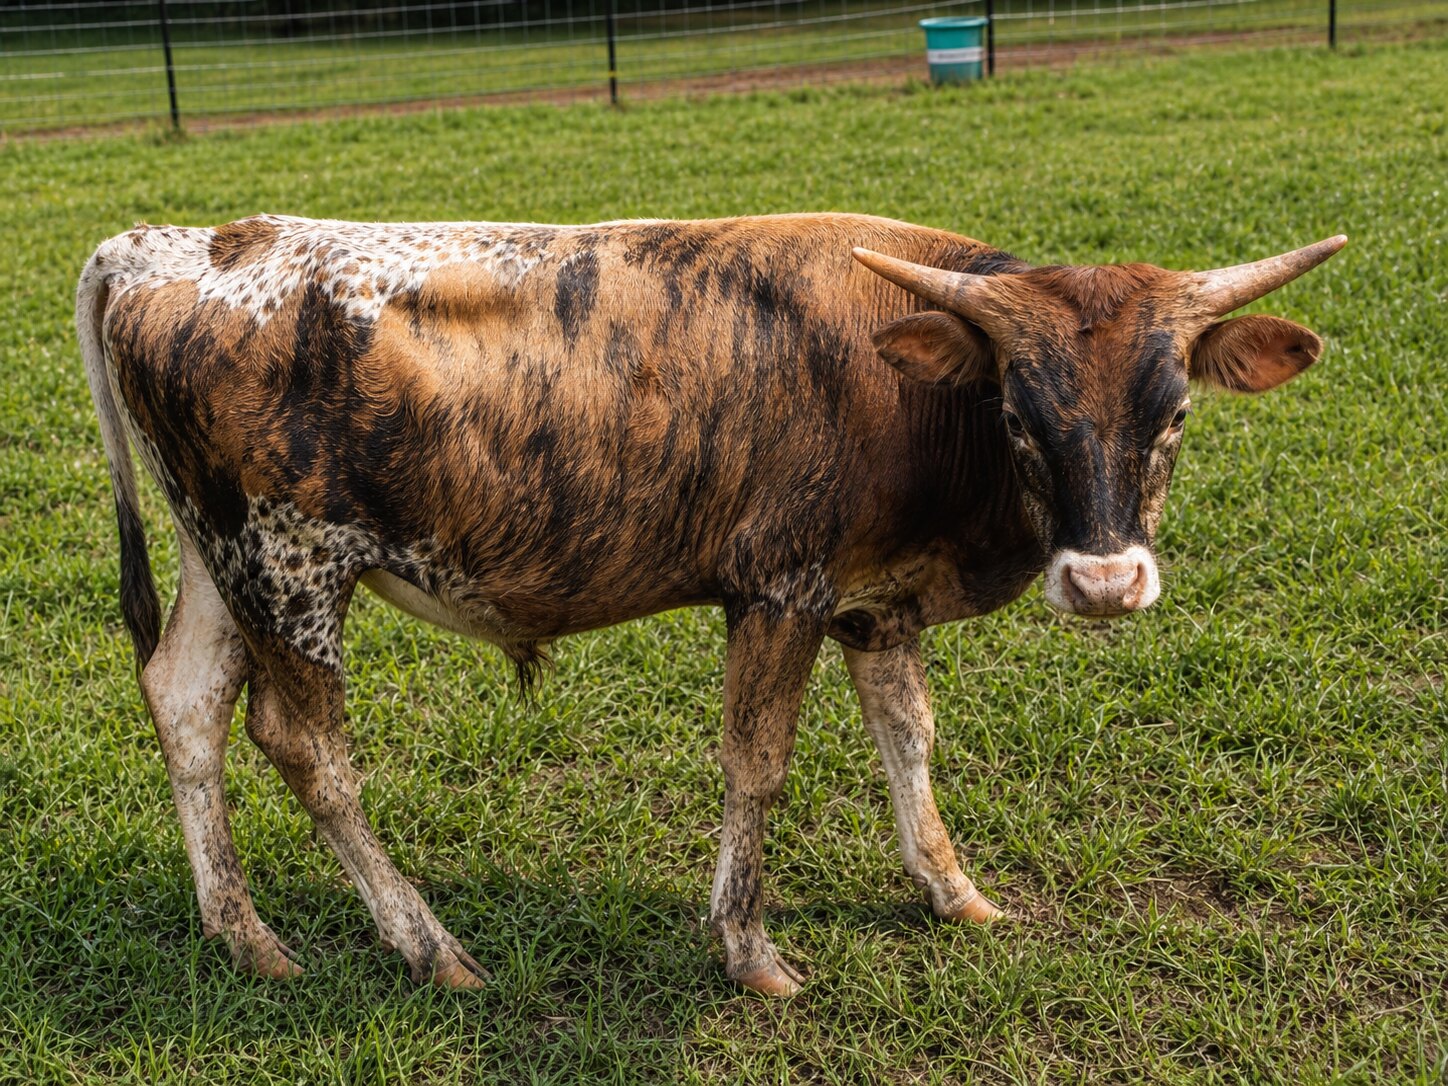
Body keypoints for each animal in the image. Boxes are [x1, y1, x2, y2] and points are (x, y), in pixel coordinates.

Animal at [77, 213, 1344, 996]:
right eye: (1018, 414)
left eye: (1172, 413)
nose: (1103, 582)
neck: (905, 388)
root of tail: (175, 242)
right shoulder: (778, 589)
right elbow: (756, 764)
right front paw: (747, 948)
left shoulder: (875, 602)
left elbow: (908, 737)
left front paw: (952, 889)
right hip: (288, 569)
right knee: (307, 750)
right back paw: (426, 943)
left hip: (221, 561)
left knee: (184, 705)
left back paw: (244, 934)